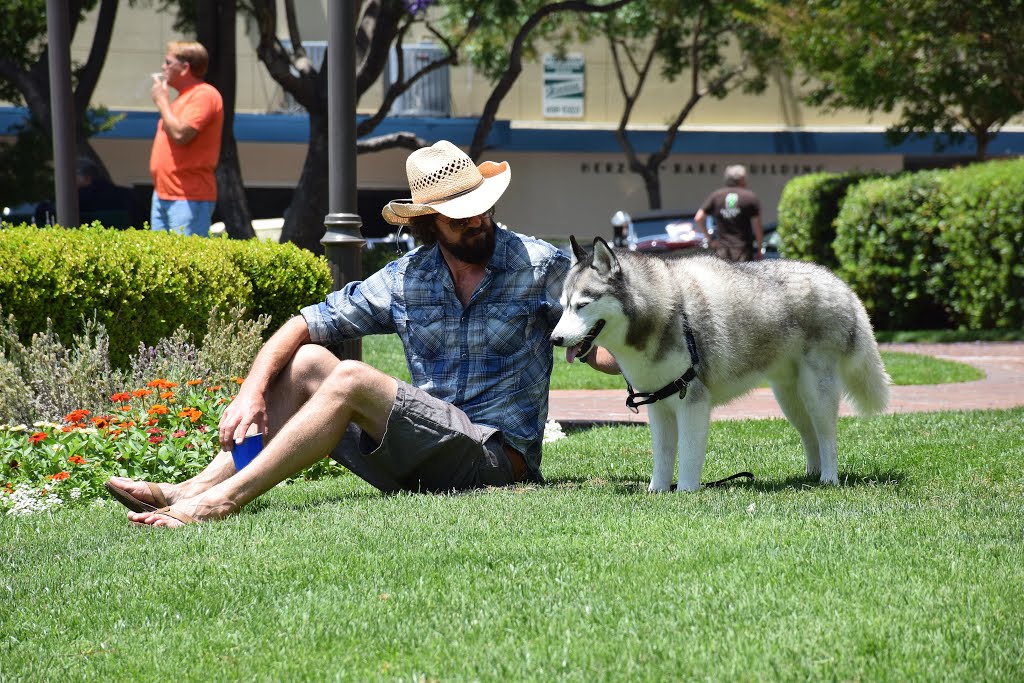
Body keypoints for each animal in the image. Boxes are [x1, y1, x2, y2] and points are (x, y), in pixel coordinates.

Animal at [552, 236, 888, 491]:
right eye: (563, 306)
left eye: (583, 305)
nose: (555, 339)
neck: (663, 314)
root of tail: (839, 283)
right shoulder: (658, 406)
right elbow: (662, 455)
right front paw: (656, 491)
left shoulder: (692, 402)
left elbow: (688, 454)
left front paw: (685, 492)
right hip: (789, 395)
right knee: (809, 434)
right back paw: (810, 475)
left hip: (816, 390)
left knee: (827, 435)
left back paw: (829, 478)